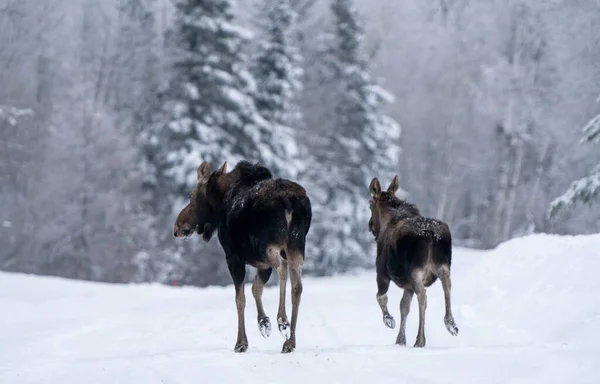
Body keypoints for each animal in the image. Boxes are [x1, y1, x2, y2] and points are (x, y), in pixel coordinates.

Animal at [173, 160, 312, 354]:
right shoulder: (261, 264)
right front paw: (264, 323)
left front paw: (241, 342)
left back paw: (282, 320)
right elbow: (256, 289)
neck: (219, 205)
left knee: (282, 269)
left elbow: (240, 298)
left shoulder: (233, 257)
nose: (177, 227)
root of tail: (289, 202)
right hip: (296, 244)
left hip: (269, 245)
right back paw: (290, 342)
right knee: (297, 286)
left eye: (191, 195)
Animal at [366, 176, 460, 348]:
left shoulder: (381, 272)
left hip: (415, 270)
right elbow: (404, 306)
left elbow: (381, 297)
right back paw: (450, 324)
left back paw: (420, 339)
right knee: (447, 288)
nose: (370, 226)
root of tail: (432, 234)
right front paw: (400, 340)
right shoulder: (407, 285)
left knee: (423, 296)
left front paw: (389, 321)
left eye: (370, 205)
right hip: (443, 266)